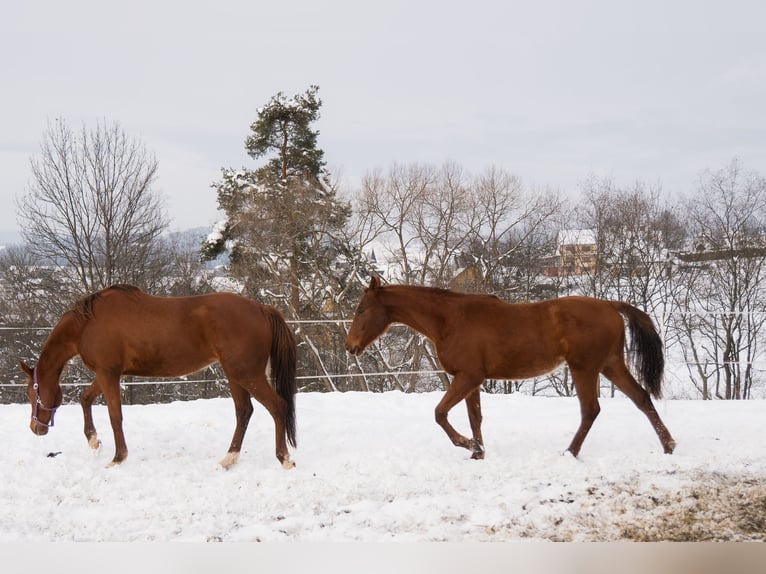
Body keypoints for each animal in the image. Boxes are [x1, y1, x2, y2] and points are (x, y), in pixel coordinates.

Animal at [20, 284, 298, 469]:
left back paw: (284, 459)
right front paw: (93, 441)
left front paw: (118, 458)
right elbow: (85, 399)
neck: (88, 323)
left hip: (246, 373)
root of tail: (261, 308)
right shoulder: (106, 373)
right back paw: (229, 458)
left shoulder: (108, 374)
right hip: (235, 374)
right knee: (244, 412)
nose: (35, 428)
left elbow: (115, 416)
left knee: (277, 406)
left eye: (32, 391)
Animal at [345, 276, 676, 459]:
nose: (350, 346)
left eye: (361, 310)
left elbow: (440, 413)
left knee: (591, 410)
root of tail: (610, 305)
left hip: (585, 368)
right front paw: (478, 451)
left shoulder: (468, 377)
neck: (450, 320)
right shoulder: (471, 380)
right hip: (610, 365)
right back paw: (668, 445)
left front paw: (467, 445)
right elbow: (474, 417)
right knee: (641, 398)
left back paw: (570, 452)